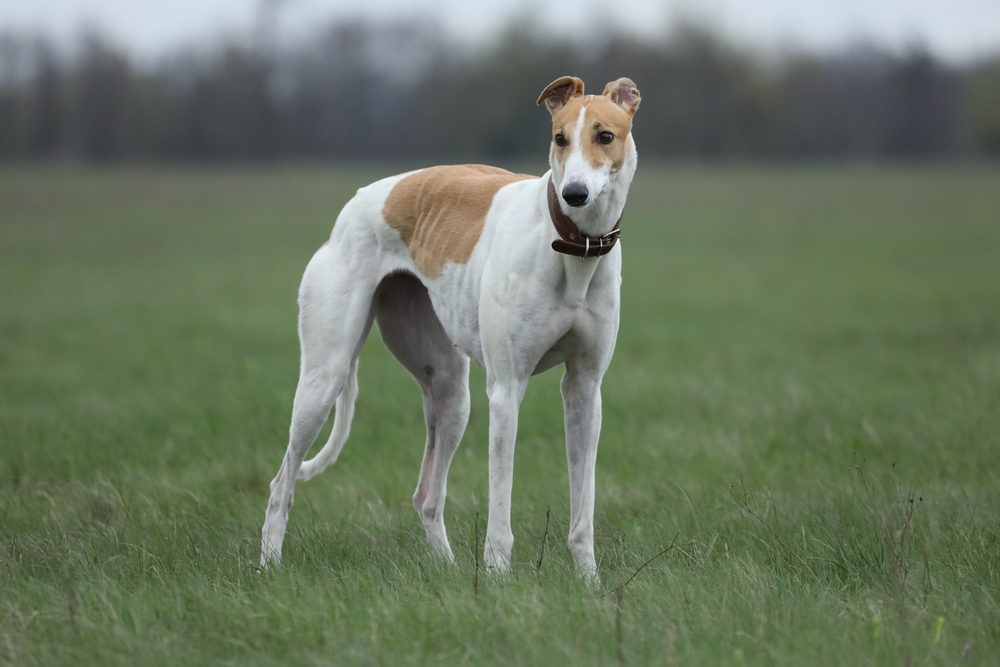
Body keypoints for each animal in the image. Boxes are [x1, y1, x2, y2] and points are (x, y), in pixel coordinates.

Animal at [260, 77, 640, 580]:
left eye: (605, 136)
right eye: (559, 138)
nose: (574, 193)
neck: (571, 243)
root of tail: (356, 202)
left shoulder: (585, 389)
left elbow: (583, 507)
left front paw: (589, 581)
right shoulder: (506, 390)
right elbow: (500, 506)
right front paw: (498, 578)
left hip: (451, 392)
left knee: (426, 495)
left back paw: (447, 568)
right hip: (324, 379)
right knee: (281, 482)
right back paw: (268, 564)